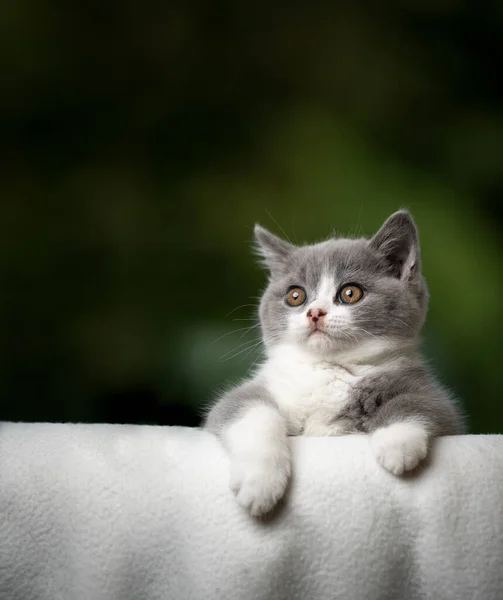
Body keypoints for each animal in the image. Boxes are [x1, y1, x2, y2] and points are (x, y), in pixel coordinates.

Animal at [204, 210, 464, 516]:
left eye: (350, 293)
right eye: (295, 296)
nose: (315, 312)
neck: (327, 367)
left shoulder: (431, 395)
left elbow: (423, 402)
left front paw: (396, 442)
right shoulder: (255, 392)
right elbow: (247, 409)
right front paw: (260, 482)